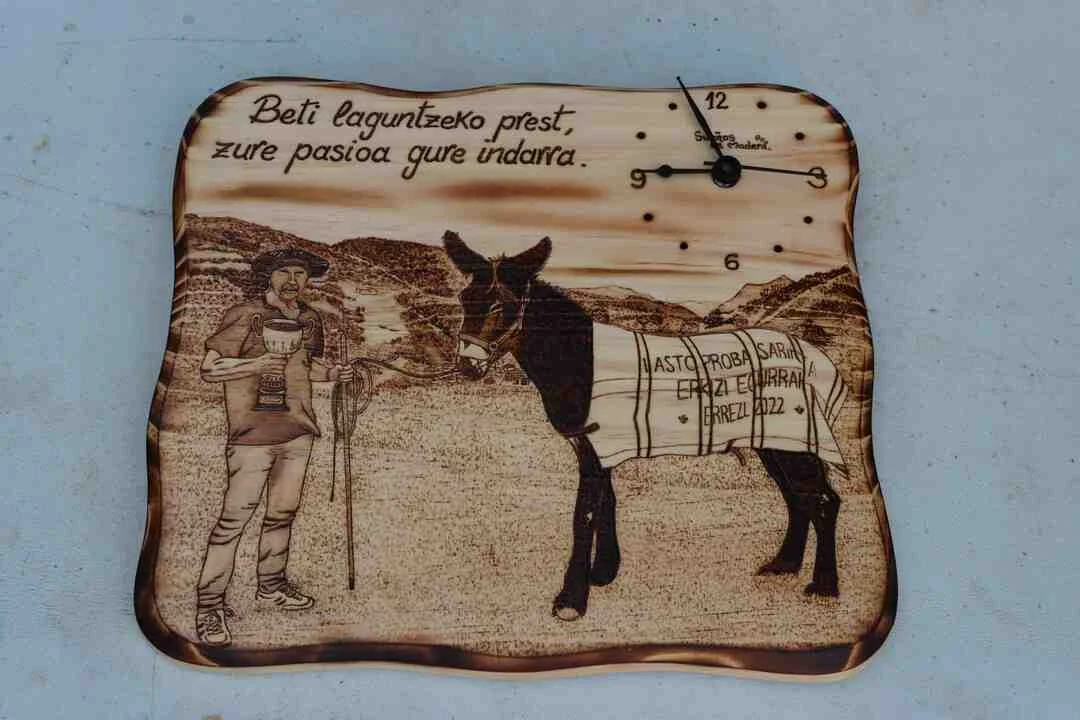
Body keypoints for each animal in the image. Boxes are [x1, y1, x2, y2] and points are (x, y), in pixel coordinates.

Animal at [442, 230, 844, 621]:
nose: (467, 364)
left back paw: (824, 587)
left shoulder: (597, 448)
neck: (581, 358)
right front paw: (603, 573)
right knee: (797, 497)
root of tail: (816, 359)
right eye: (463, 298)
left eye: (500, 304)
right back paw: (783, 565)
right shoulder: (596, 445)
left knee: (823, 500)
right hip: (776, 440)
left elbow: (583, 514)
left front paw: (571, 601)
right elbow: (607, 502)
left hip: (792, 436)